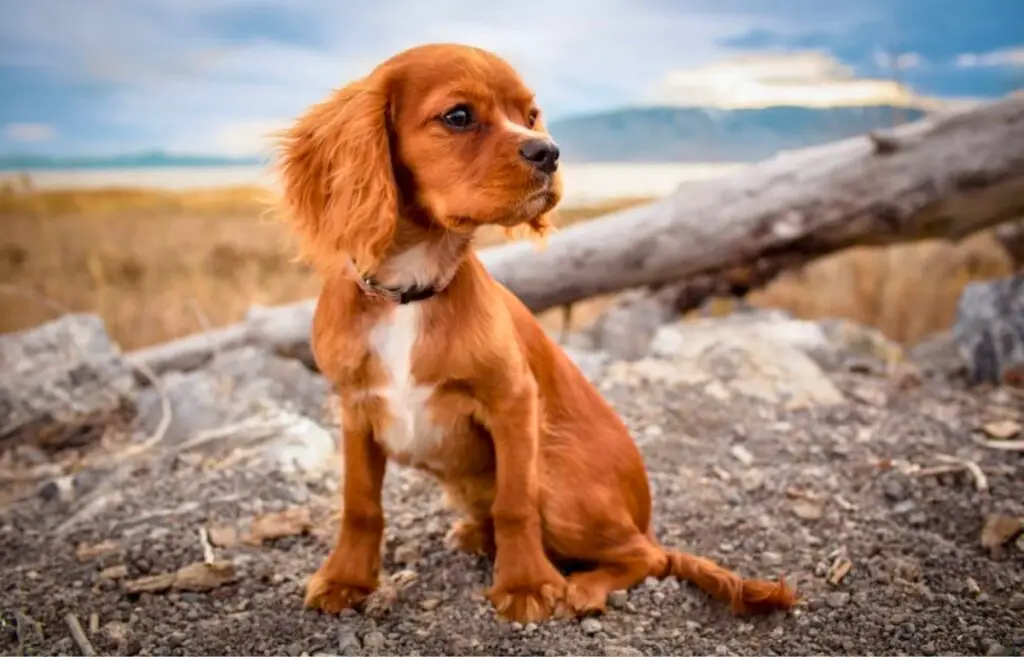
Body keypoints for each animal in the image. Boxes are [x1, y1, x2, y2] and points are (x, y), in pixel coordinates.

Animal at [280, 43, 798, 622]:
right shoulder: (354, 408)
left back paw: (584, 587)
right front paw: (346, 579)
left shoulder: (513, 400)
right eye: (458, 116)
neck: (410, 291)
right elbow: (360, 503)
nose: (549, 152)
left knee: (648, 557)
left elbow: (515, 503)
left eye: (530, 116)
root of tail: (645, 520)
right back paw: (477, 537)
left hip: (560, 476)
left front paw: (526, 584)